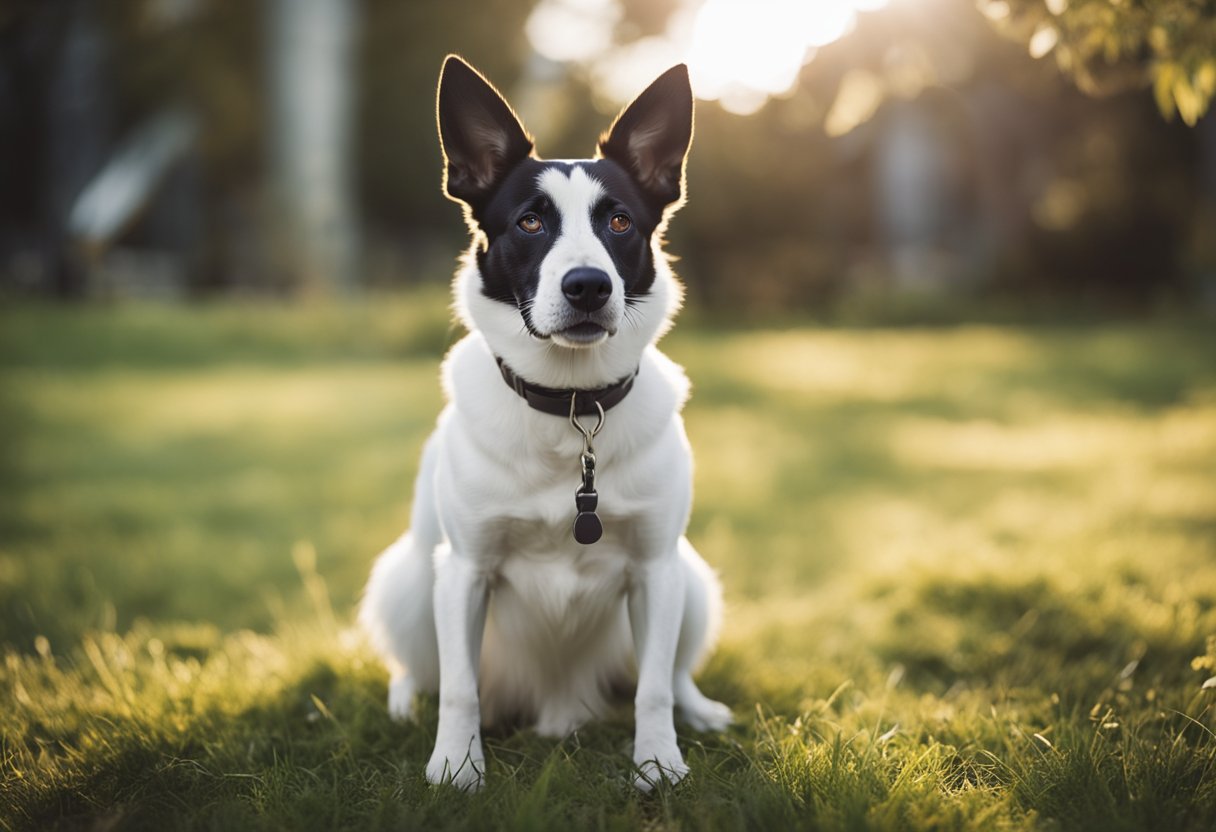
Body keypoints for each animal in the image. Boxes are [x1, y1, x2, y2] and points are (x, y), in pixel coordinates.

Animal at [355, 55, 724, 788]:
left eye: (619, 222)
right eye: (529, 223)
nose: (587, 286)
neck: (572, 405)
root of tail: (558, 705)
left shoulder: (657, 569)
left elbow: (654, 687)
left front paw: (657, 763)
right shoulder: (463, 571)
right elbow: (461, 689)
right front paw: (457, 769)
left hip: (692, 580)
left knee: (672, 673)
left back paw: (698, 712)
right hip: (407, 581)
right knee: (423, 668)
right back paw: (407, 703)